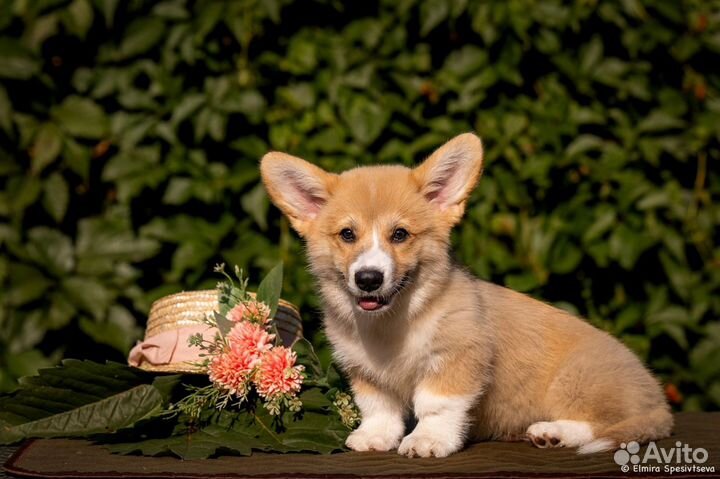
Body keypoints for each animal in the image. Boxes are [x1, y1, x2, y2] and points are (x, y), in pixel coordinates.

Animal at [260, 134, 676, 458]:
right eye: (347, 234)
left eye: (400, 234)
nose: (368, 279)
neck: (395, 321)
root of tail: (659, 401)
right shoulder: (365, 370)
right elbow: (378, 406)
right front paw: (375, 437)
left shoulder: (458, 358)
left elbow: (435, 405)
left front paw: (427, 441)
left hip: (575, 381)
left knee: (606, 425)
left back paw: (553, 432)